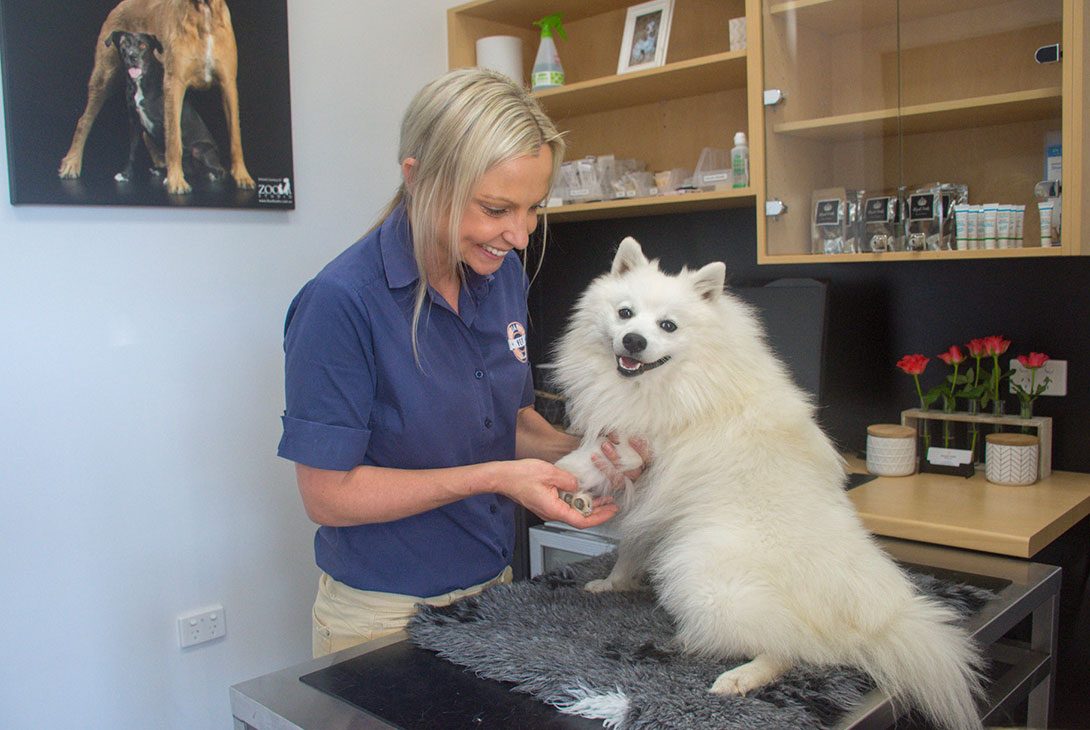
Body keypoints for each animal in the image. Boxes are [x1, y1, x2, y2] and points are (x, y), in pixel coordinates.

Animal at [107, 31, 225, 184]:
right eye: (124, 45)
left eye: (143, 45)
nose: (133, 57)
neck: (141, 83)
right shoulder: (134, 122)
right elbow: (132, 151)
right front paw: (126, 174)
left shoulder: (166, 123)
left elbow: (171, 152)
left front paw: (171, 179)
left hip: (200, 149)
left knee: (220, 170)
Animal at [552, 238, 984, 730]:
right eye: (625, 313)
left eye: (667, 325)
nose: (634, 341)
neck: (677, 381)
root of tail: (872, 619)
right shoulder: (644, 493)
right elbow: (629, 545)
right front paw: (612, 576)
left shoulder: (634, 451)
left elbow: (579, 461)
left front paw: (559, 481)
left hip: (702, 574)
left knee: (795, 651)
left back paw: (735, 673)